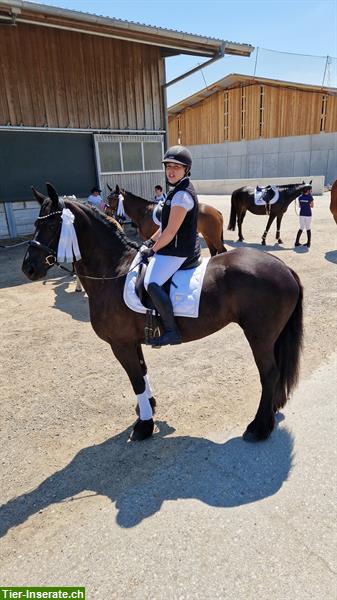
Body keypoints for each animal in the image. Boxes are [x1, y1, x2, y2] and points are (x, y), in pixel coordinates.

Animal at [22, 184, 304, 446]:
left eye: (51, 225)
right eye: (36, 223)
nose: (29, 268)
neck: (113, 270)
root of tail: (283, 267)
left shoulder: (120, 345)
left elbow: (135, 379)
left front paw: (144, 426)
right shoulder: (132, 342)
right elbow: (143, 373)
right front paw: (148, 406)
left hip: (260, 336)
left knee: (269, 374)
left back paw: (259, 427)